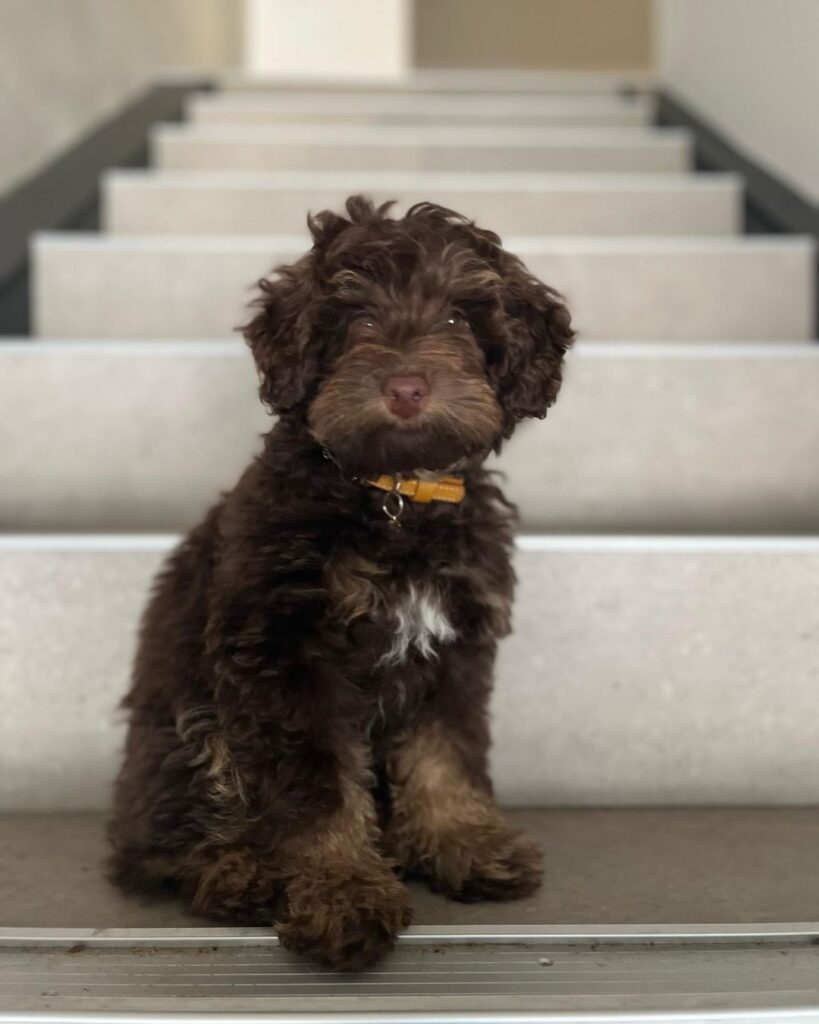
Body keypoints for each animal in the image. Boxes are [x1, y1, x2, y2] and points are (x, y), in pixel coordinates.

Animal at [109, 196, 574, 970]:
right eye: (356, 320)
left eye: (458, 318)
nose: (406, 387)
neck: (392, 495)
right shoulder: (286, 651)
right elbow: (319, 786)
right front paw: (341, 894)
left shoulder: (454, 647)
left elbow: (446, 753)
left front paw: (466, 843)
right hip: (187, 726)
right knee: (162, 844)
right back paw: (237, 872)